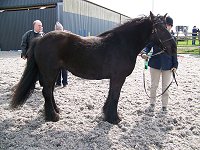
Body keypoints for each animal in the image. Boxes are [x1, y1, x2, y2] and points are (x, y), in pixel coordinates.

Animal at [11, 12, 177, 124]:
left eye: (166, 27)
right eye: (159, 29)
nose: (173, 48)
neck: (122, 44)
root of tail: (39, 39)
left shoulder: (115, 78)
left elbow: (111, 95)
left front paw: (106, 114)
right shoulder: (118, 78)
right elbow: (115, 96)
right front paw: (113, 118)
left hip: (53, 72)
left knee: (49, 91)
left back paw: (55, 111)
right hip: (49, 72)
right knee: (46, 91)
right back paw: (53, 116)